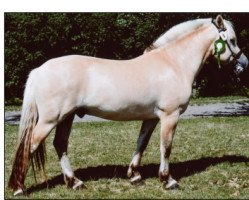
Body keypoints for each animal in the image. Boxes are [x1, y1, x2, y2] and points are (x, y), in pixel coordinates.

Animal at [7, 15, 247, 195]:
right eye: (232, 40)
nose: (244, 64)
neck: (173, 63)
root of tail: (39, 70)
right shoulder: (170, 115)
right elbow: (166, 147)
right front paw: (168, 180)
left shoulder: (151, 117)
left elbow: (142, 142)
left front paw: (135, 176)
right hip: (50, 120)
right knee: (30, 145)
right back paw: (19, 188)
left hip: (67, 117)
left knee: (60, 145)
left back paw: (75, 182)